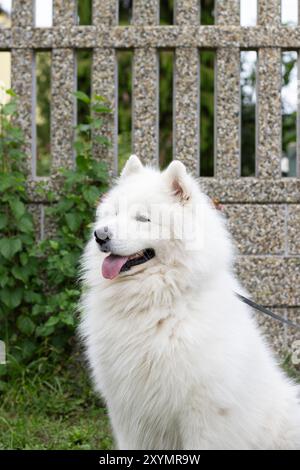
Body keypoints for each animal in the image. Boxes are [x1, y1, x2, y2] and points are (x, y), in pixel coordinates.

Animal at [79, 154, 300, 448]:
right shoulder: (129, 412)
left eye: (143, 219)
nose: (100, 235)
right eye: (113, 214)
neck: (156, 302)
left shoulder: (204, 412)